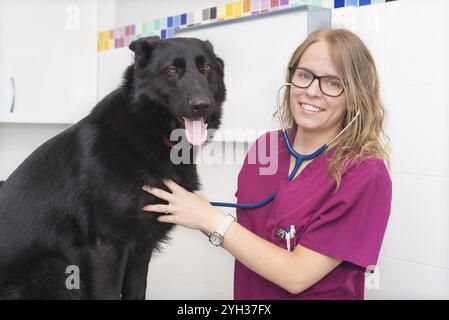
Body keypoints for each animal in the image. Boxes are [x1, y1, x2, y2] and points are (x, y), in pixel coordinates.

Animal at [0, 36, 224, 298]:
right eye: (171, 70)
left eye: (207, 67)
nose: (202, 105)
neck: (146, 128)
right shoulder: (107, 246)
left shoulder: (141, 250)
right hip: (56, 267)